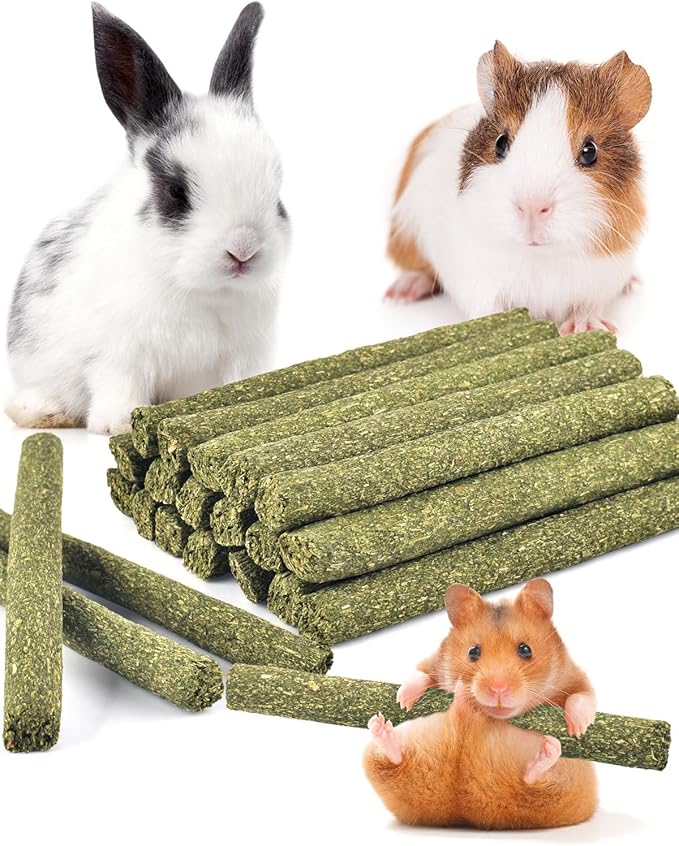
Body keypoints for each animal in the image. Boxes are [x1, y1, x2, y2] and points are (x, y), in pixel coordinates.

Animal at [6, 2, 290, 435]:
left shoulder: (242, 357)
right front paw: (116, 425)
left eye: (277, 193)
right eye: (175, 191)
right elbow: (119, 384)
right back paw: (43, 412)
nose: (243, 251)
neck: (201, 291)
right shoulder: (117, 355)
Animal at [363, 579, 598, 829]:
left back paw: (548, 749)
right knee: (392, 762)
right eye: (473, 652)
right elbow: (419, 674)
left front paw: (577, 728)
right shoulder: (434, 661)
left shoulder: (576, 677)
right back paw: (381, 726)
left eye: (525, 649)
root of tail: (470, 809)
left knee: (534, 784)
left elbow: (581, 696)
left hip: (562, 790)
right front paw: (404, 700)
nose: (498, 689)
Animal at [385, 43, 652, 336]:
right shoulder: (477, 280)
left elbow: (586, 307)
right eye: (501, 143)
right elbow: (490, 308)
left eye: (590, 151)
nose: (532, 207)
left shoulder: (602, 275)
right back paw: (400, 293)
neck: (539, 257)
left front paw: (587, 328)